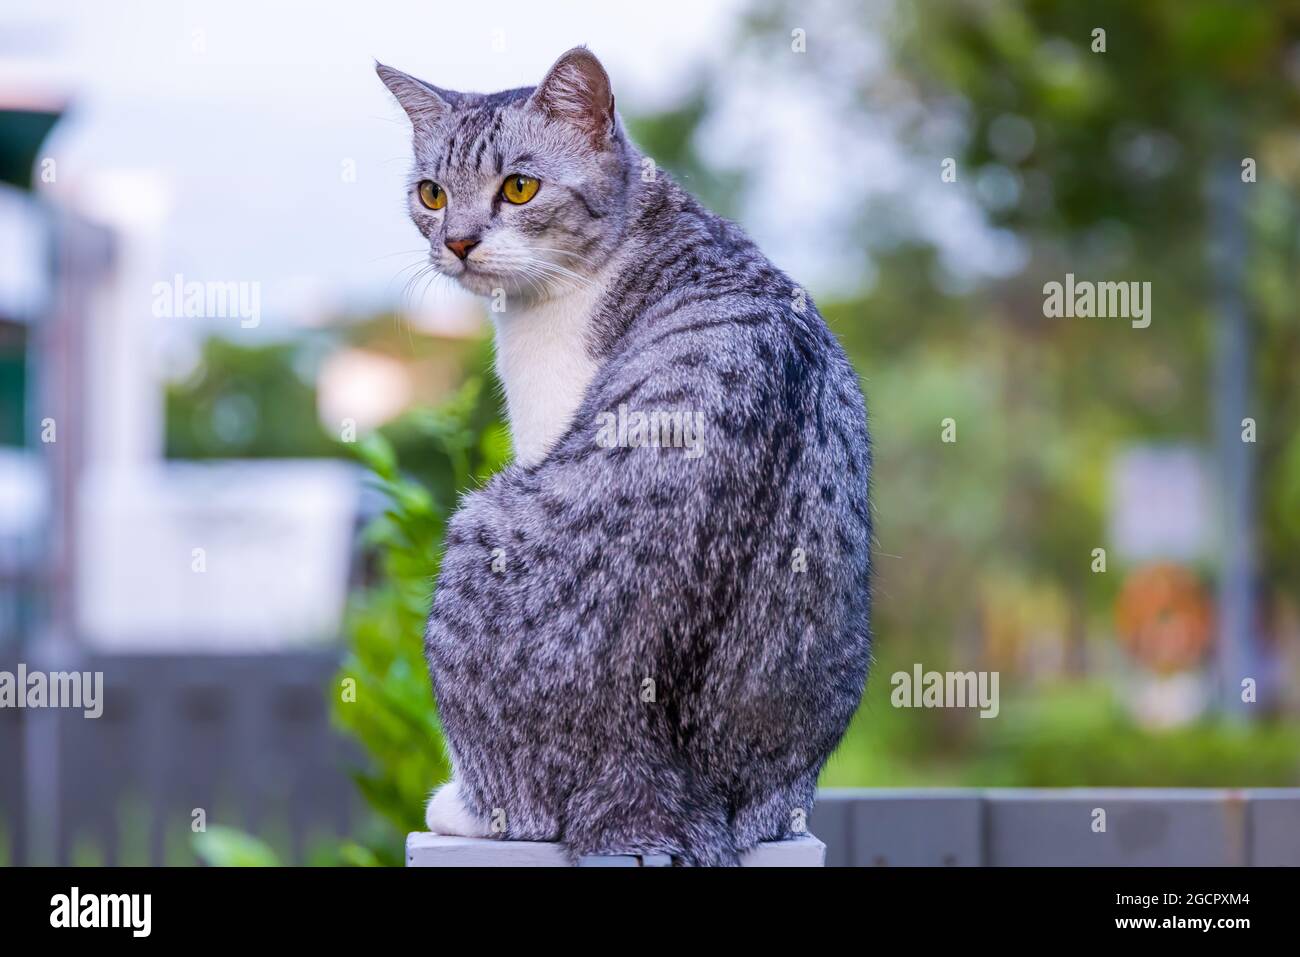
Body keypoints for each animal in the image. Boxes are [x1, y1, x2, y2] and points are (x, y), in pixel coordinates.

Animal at [377, 46, 873, 868]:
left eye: (519, 187)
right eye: (431, 194)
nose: (457, 242)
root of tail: (651, 774)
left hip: (479, 524)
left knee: (520, 812)